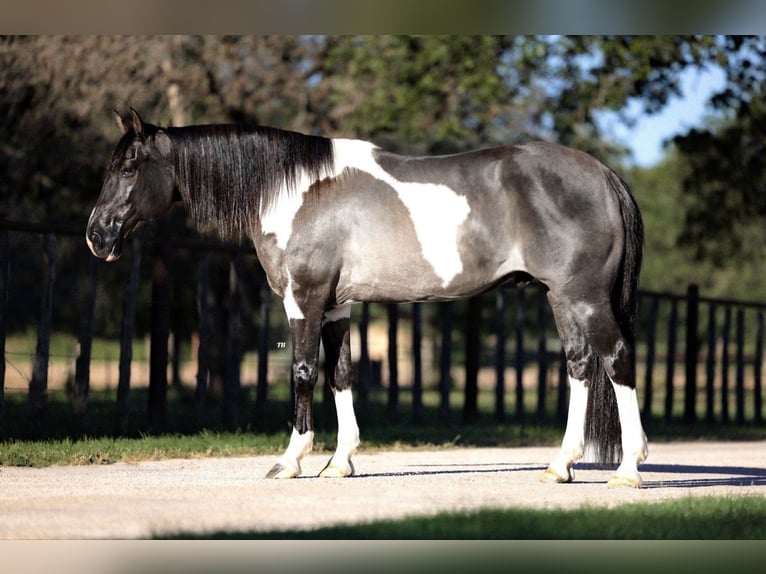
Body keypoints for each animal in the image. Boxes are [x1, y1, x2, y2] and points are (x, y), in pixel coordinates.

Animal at [87, 110, 652, 488]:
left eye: (129, 167)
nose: (97, 235)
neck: (295, 190)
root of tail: (603, 175)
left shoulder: (304, 298)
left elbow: (303, 373)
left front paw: (290, 460)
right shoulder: (337, 304)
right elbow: (341, 375)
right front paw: (339, 463)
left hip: (586, 296)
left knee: (617, 360)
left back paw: (628, 469)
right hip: (563, 298)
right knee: (580, 366)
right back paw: (560, 465)